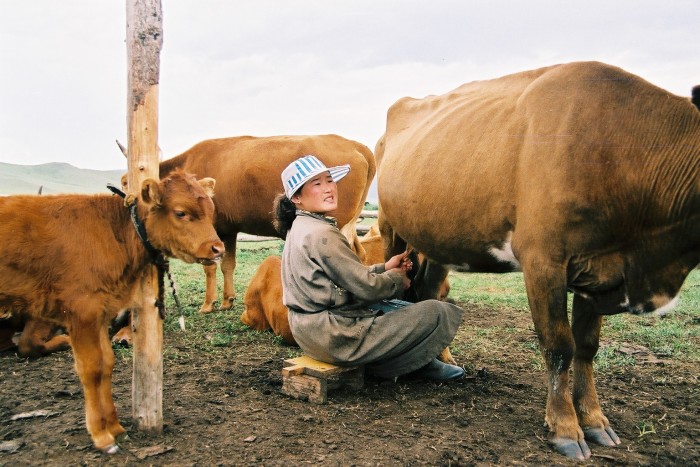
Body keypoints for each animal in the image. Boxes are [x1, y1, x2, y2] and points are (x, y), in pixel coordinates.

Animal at [0, 172, 224, 454]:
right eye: (181, 212)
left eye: (210, 210)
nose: (217, 249)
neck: (112, 231)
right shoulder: (81, 312)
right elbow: (91, 369)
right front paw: (101, 435)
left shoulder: (99, 313)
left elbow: (106, 363)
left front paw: (115, 426)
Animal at [129, 133, 374, 312]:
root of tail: (355, 145)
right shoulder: (228, 230)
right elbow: (228, 265)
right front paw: (227, 300)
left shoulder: (209, 230)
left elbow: (210, 267)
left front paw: (208, 304)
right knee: (360, 255)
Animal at [378, 62, 700, 460]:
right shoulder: (544, 260)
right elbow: (559, 345)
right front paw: (564, 428)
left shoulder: (597, 269)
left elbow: (587, 346)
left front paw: (594, 420)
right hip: (389, 229)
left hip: (439, 241)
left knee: (428, 293)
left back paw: (444, 360)